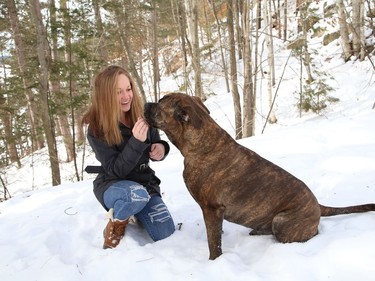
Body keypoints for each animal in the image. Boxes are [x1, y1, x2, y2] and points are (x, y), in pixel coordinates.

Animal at [145, 93, 375, 260]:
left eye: (160, 103)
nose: (146, 103)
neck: (200, 144)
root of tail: (318, 205)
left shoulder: (211, 209)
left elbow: (213, 242)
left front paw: (214, 261)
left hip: (282, 221)